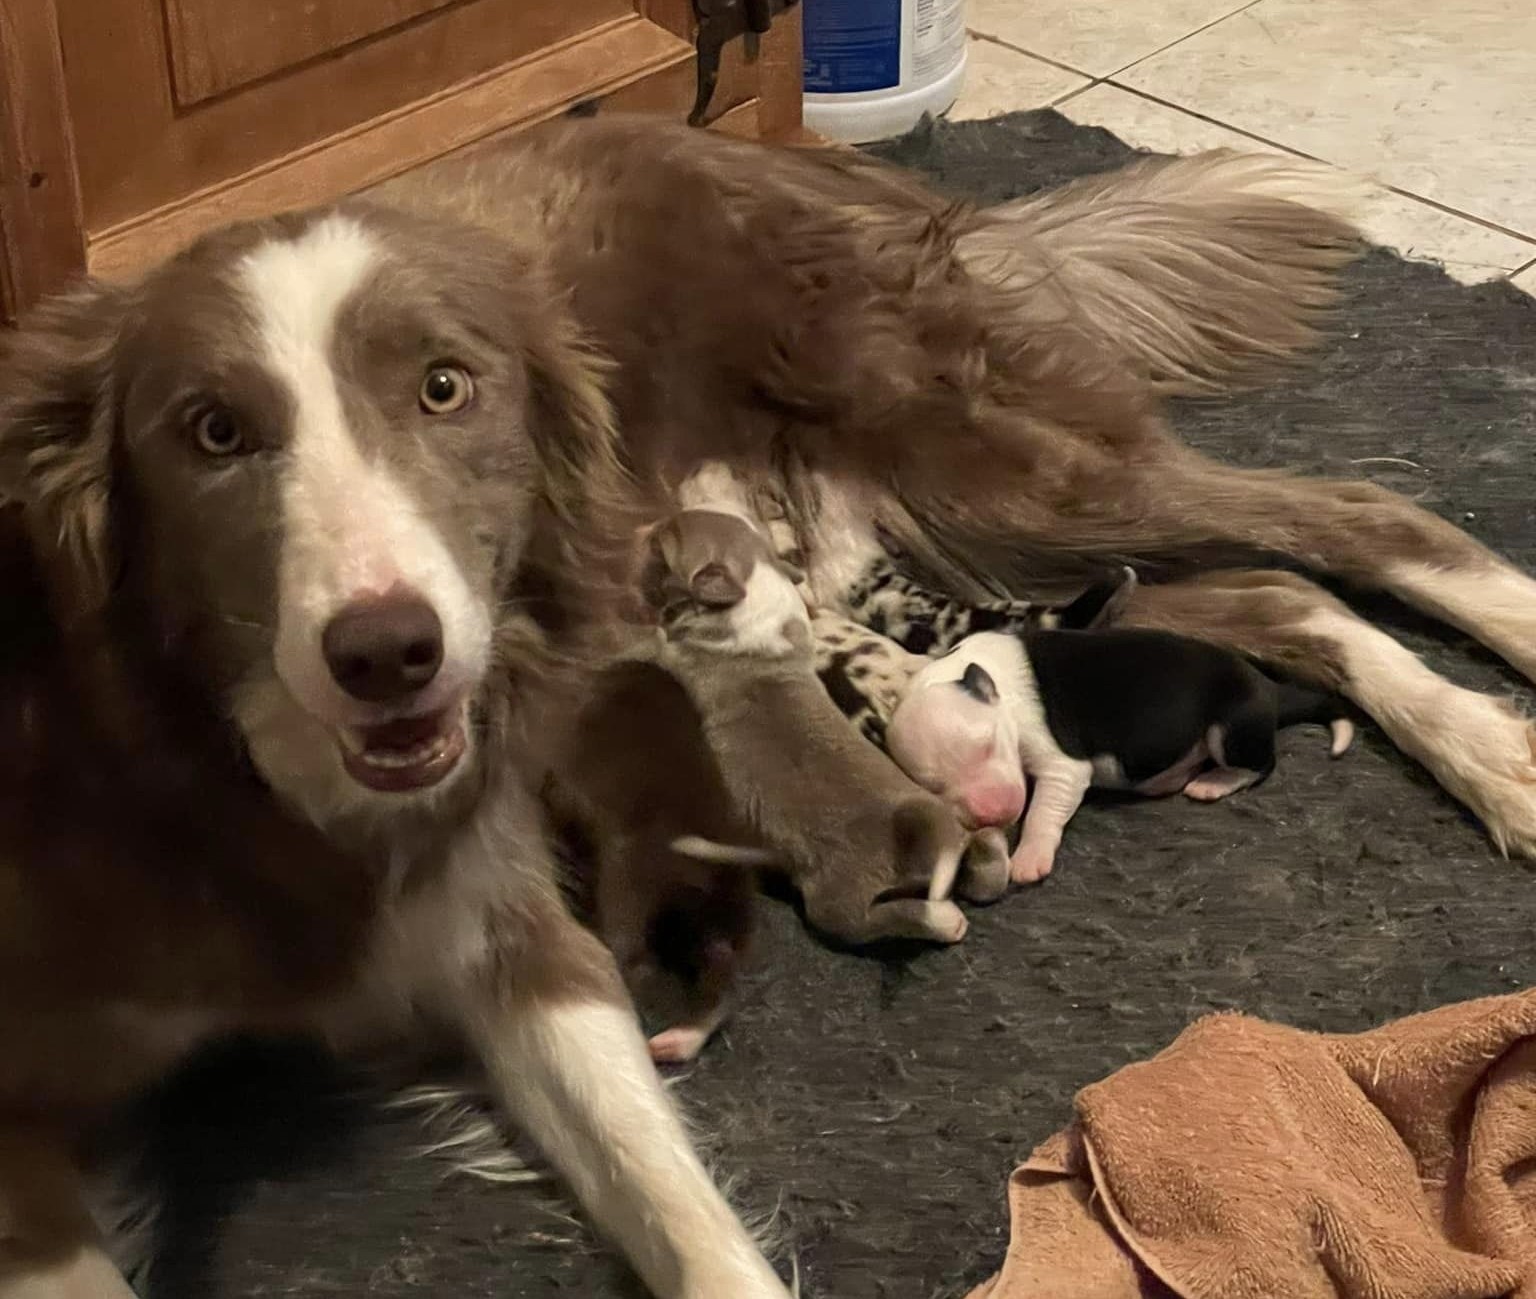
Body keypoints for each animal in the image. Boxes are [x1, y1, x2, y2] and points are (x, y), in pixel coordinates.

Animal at [642, 509, 1013, 945]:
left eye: (667, 537)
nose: (645, 528)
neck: (754, 584)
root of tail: (914, 849)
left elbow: (661, 644)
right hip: (954, 835)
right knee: (984, 870)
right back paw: (992, 849)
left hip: (839, 908)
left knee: (886, 918)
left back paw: (943, 920)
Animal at [884, 629, 1351, 884]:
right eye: (934, 787)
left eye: (988, 746)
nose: (992, 814)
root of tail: (1269, 688)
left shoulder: (1062, 763)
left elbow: (1042, 811)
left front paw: (1029, 857)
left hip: (1231, 727)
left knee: (1259, 764)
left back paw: (1212, 782)